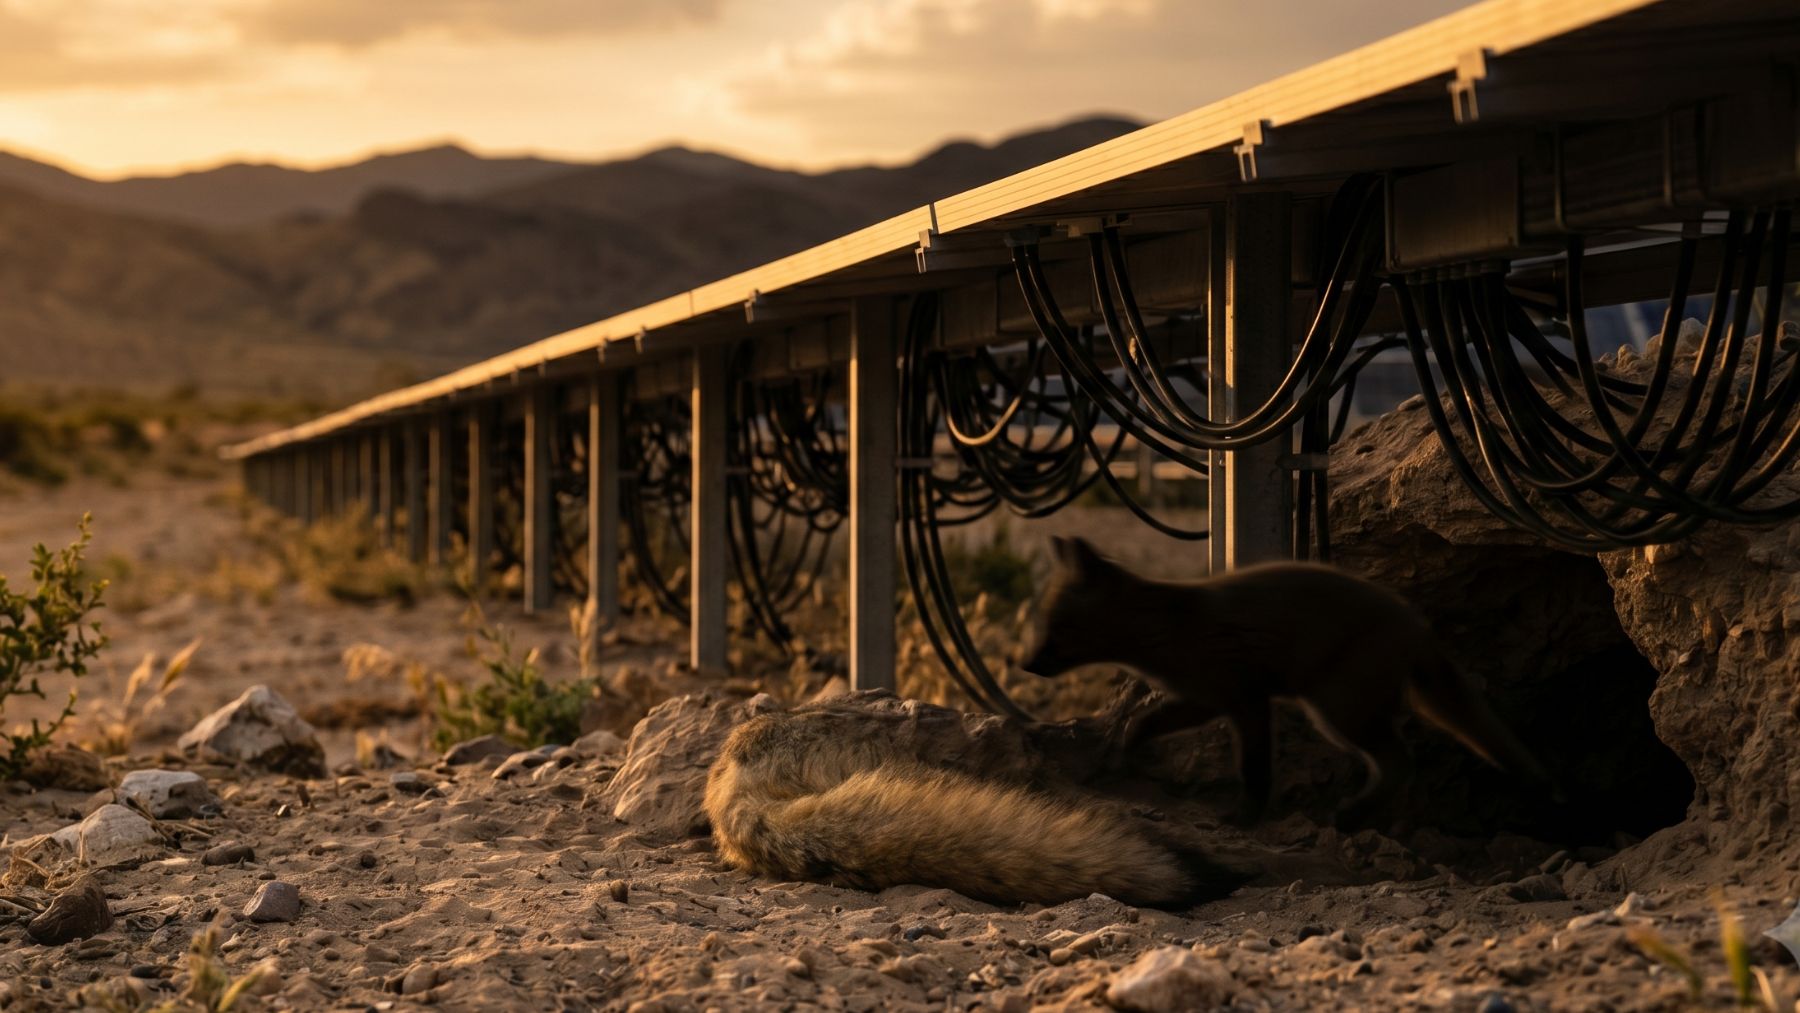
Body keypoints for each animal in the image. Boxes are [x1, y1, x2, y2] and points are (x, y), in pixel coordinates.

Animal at [1018, 536, 1554, 830]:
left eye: (1056, 629)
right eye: (1042, 626)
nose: (1025, 664)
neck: (1169, 627)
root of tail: (1413, 620)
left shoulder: (1245, 700)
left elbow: (1254, 768)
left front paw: (1245, 818)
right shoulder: (1201, 699)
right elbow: (1139, 723)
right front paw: (1122, 759)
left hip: (1338, 713)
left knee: (1402, 763)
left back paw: (1352, 816)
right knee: (1400, 763)